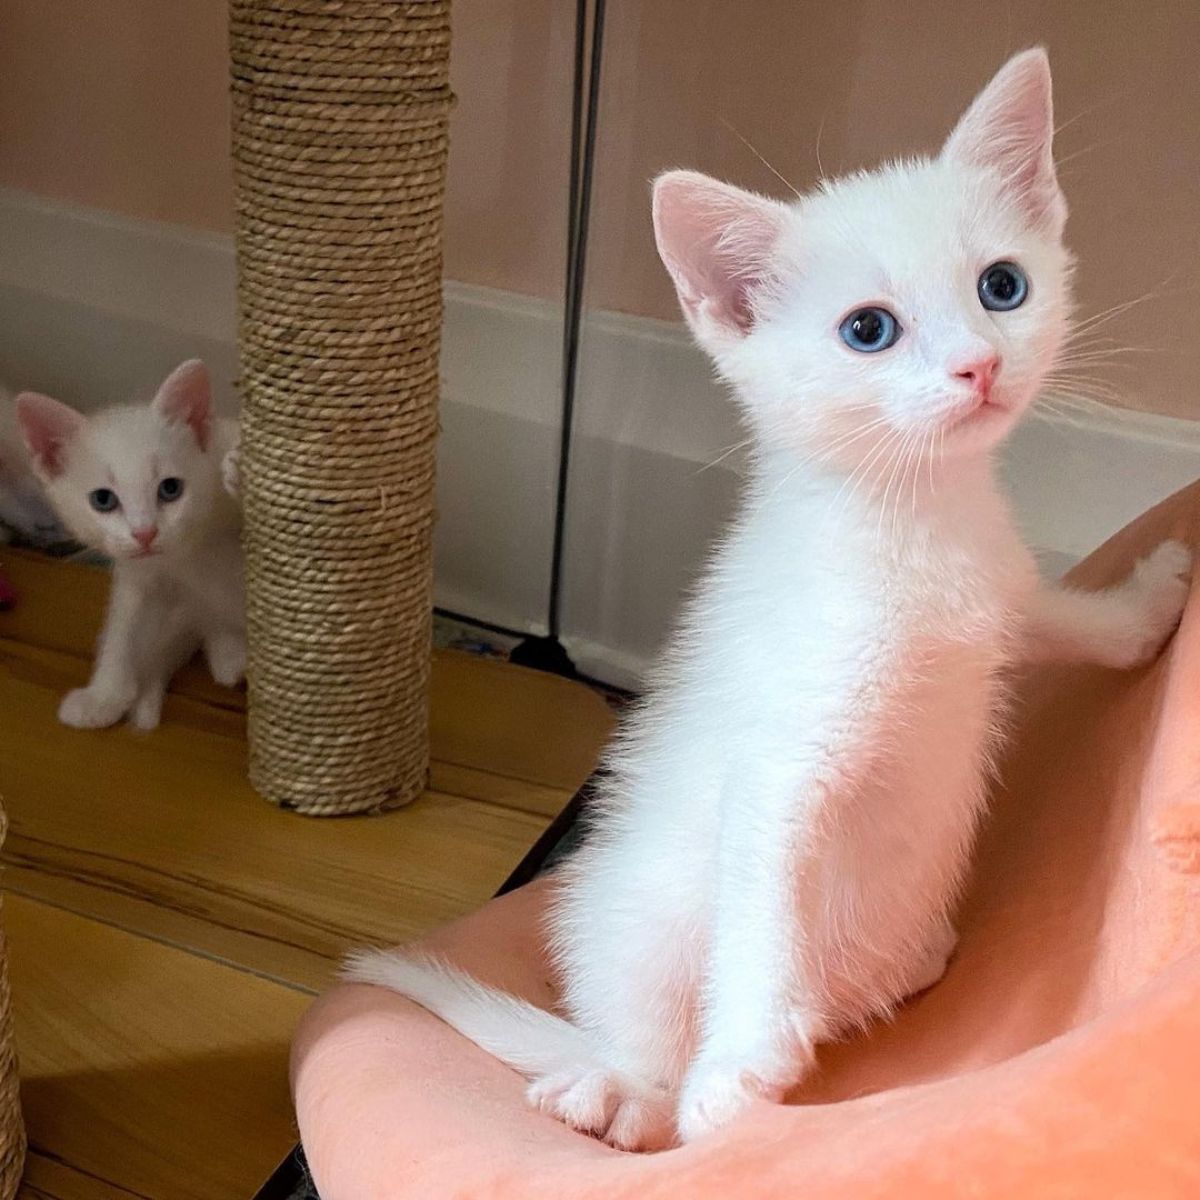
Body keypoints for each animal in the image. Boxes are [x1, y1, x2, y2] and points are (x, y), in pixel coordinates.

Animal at [16, 357, 243, 729]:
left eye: (170, 488)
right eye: (103, 499)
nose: (145, 533)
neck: (189, 551)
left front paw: (241, 469)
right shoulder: (140, 572)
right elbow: (123, 624)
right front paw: (103, 696)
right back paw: (229, 654)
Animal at [343, 49, 1185, 1152]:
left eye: (1003, 286)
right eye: (868, 331)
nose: (981, 363)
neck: (913, 523)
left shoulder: (1001, 594)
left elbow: (1067, 615)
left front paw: (1153, 600)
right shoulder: (785, 758)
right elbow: (765, 898)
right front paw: (739, 1067)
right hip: (644, 918)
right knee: (639, 1031)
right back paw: (625, 1093)